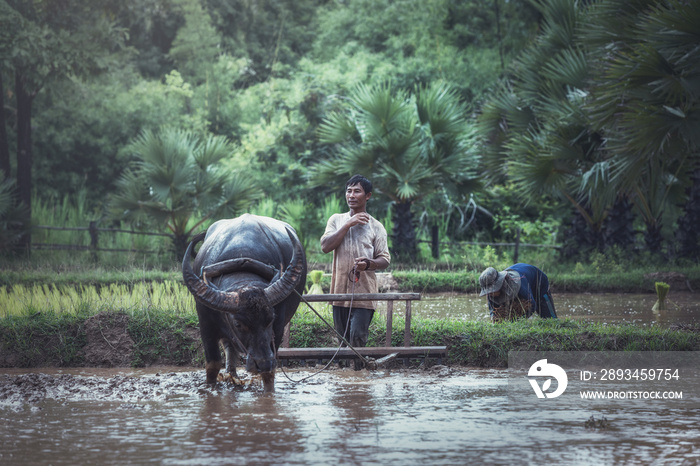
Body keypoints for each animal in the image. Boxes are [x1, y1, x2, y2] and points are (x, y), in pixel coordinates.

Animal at [183, 215, 306, 394]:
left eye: (270, 319)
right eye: (238, 324)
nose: (263, 363)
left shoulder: (277, 329)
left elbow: (270, 373)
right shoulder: (206, 324)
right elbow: (212, 365)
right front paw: (210, 388)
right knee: (229, 347)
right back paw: (231, 375)